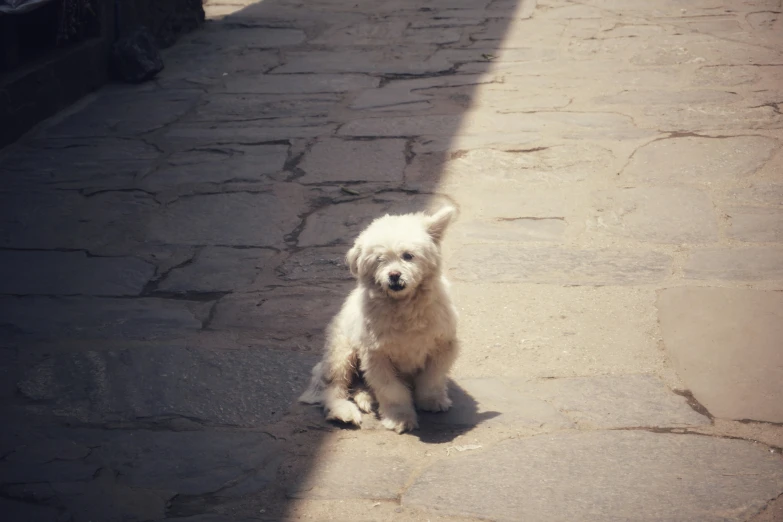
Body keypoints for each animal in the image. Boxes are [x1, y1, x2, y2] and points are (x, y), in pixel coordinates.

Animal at [298, 205, 460, 432]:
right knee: (334, 387)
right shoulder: (377, 356)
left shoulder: (442, 347)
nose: (394, 275)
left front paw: (431, 400)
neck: (404, 308)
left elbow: (432, 379)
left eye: (408, 256)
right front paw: (399, 417)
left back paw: (365, 397)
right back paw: (343, 411)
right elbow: (392, 390)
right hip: (341, 352)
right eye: (379, 260)